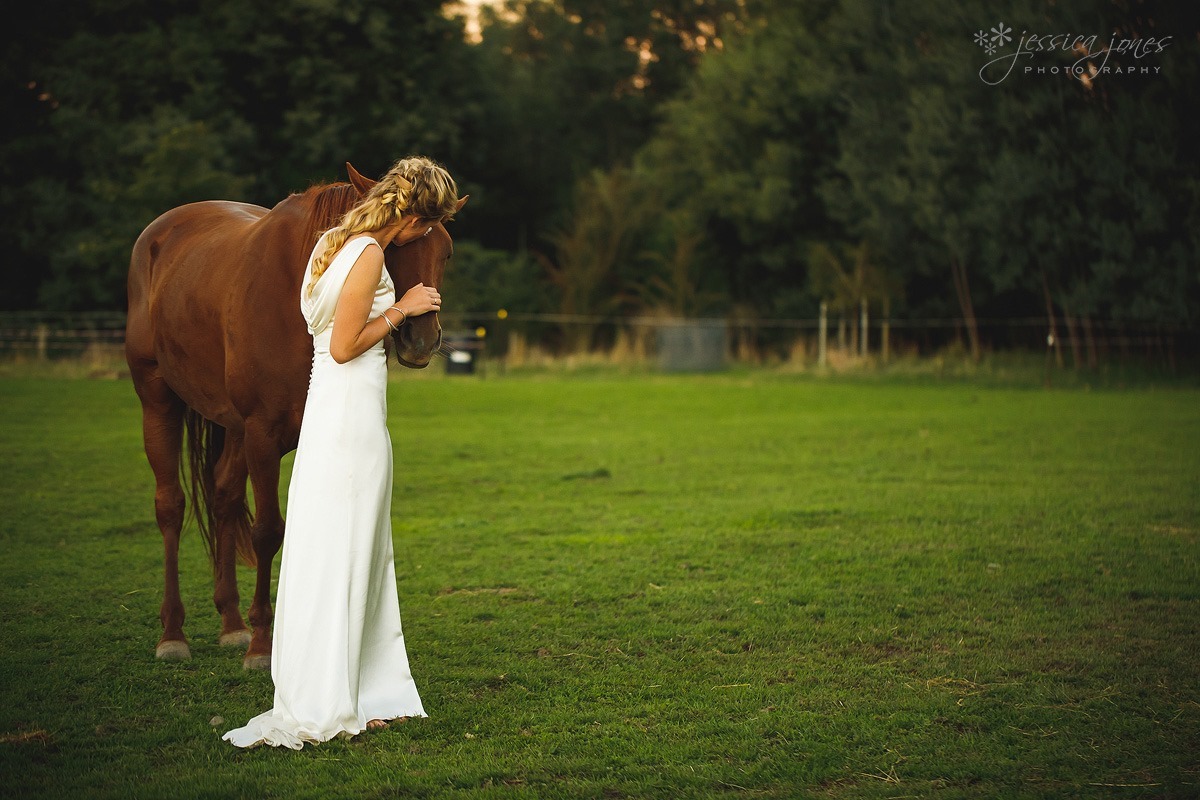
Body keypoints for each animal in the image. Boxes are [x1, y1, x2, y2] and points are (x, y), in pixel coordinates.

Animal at [125, 163, 463, 671]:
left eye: (445, 249)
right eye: (393, 247)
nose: (421, 340)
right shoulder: (263, 436)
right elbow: (268, 532)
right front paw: (264, 646)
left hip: (233, 429)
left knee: (223, 500)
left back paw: (231, 624)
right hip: (159, 401)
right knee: (171, 507)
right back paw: (173, 633)